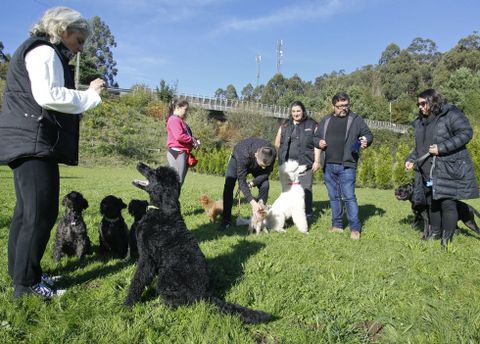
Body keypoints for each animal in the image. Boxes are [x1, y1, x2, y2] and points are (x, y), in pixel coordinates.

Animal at [124, 163, 272, 324]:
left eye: (155, 172)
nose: (139, 164)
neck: (162, 212)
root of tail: (206, 295)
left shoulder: (147, 258)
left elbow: (137, 281)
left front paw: (127, 304)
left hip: (165, 277)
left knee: (177, 302)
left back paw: (155, 308)